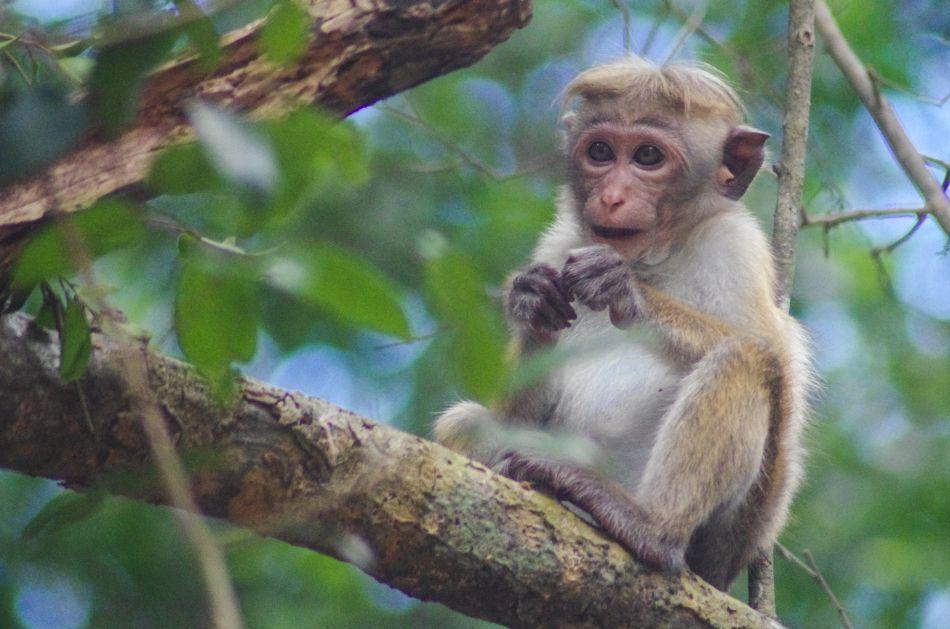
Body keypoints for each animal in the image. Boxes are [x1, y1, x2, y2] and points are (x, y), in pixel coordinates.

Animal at [436, 56, 816, 592]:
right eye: (600, 152)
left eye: (647, 157)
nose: (612, 197)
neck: (656, 256)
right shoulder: (559, 242)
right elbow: (516, 414)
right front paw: (532, 301)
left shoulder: (735, 248)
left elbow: (775, 362)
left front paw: (625, 290)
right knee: (465, 422)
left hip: (721, 542)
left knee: (746, 360)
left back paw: (648, 527)